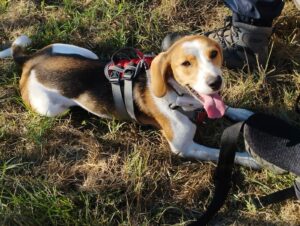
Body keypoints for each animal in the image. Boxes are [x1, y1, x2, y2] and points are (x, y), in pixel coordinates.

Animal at [0, 34, 260, 168]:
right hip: (49, 109)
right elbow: (220, 153)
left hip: (81, 52)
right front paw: (255, 160)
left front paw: (243, 113)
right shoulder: (183, 148)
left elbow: (228, 109)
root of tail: (30, 61)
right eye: (186, 63)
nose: (216, 82)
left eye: (213, 54)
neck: (178, 96)